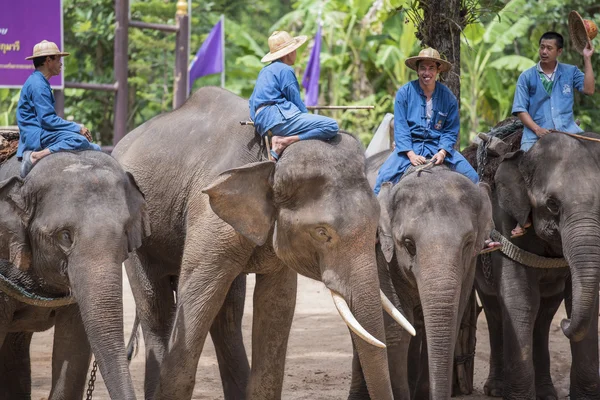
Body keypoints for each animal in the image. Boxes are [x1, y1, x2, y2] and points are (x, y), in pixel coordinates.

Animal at [111, 86, 412, 400]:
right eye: (321, 233)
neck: (269, 161)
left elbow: (277, 301)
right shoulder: (208, 214)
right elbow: (197, 295)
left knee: (228, 315)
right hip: (138, 231)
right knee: (156, 308)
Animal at [346, 152, 492, 398]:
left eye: (468, 243)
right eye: (408, 244)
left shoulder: (470, 263)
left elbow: (452, 318)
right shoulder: (381, 253)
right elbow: (396, 329)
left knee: (419, 326)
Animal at [474, 132, 600, 400]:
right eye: (552, 204)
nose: (565, 324)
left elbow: (584, 301)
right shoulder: (504, 223)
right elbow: (519, 300)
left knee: (543, 317)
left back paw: (547, 393)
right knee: (494, 310)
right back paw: (495, 389)